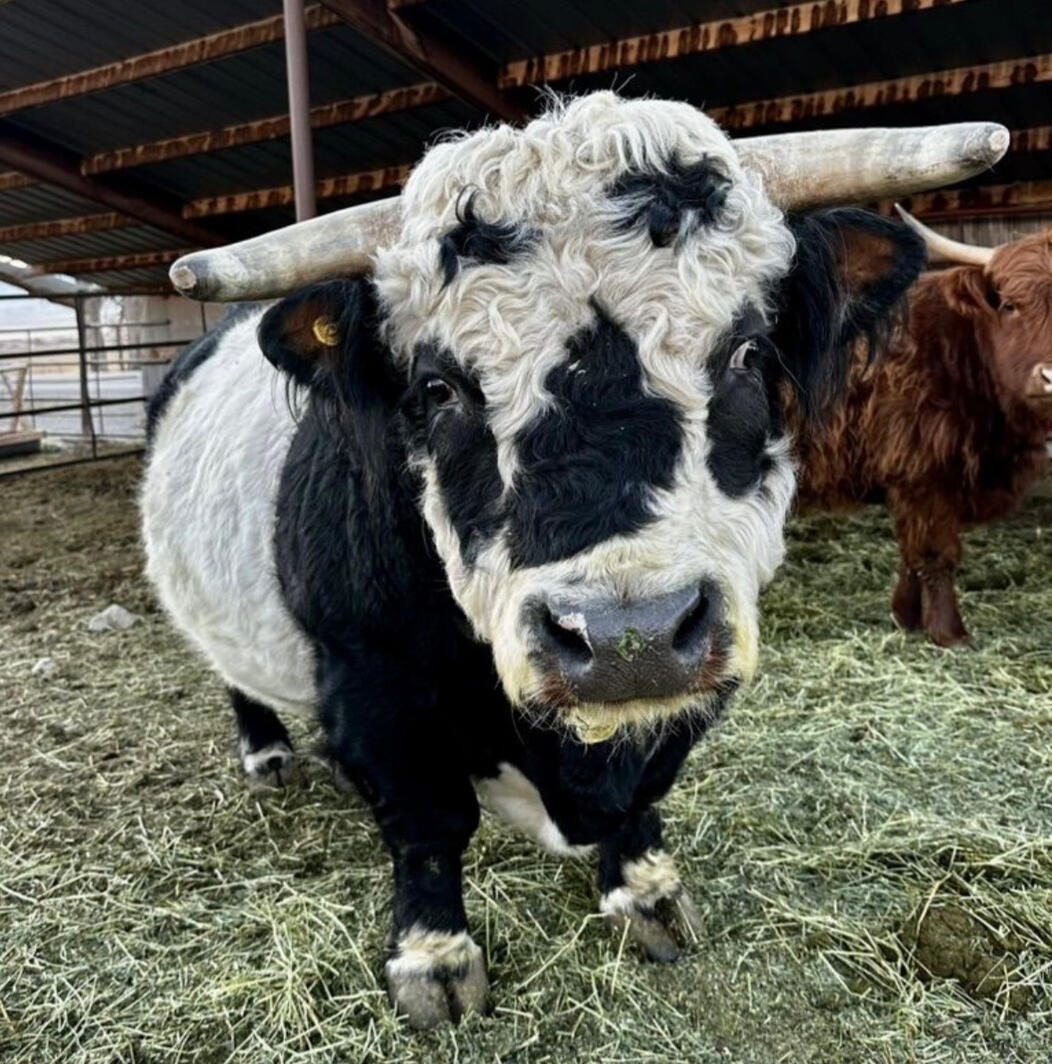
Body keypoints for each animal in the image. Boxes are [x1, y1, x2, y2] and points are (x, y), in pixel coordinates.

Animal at [141, 93, 1005, 1027]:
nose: (631, 636)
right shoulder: (370, 678)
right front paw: (433, 958)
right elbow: (427, 822)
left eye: (746, 353)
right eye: (439, 388)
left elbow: (646, 792)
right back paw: (266, 752)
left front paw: (646, 891)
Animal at [793, 207, 1052, 647]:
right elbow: (937, 553)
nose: (1051, 376)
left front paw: (906, 615)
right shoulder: (923, 474)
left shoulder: (908, 480)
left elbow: (910, 553)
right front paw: (950, 632)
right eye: (1010, 305)